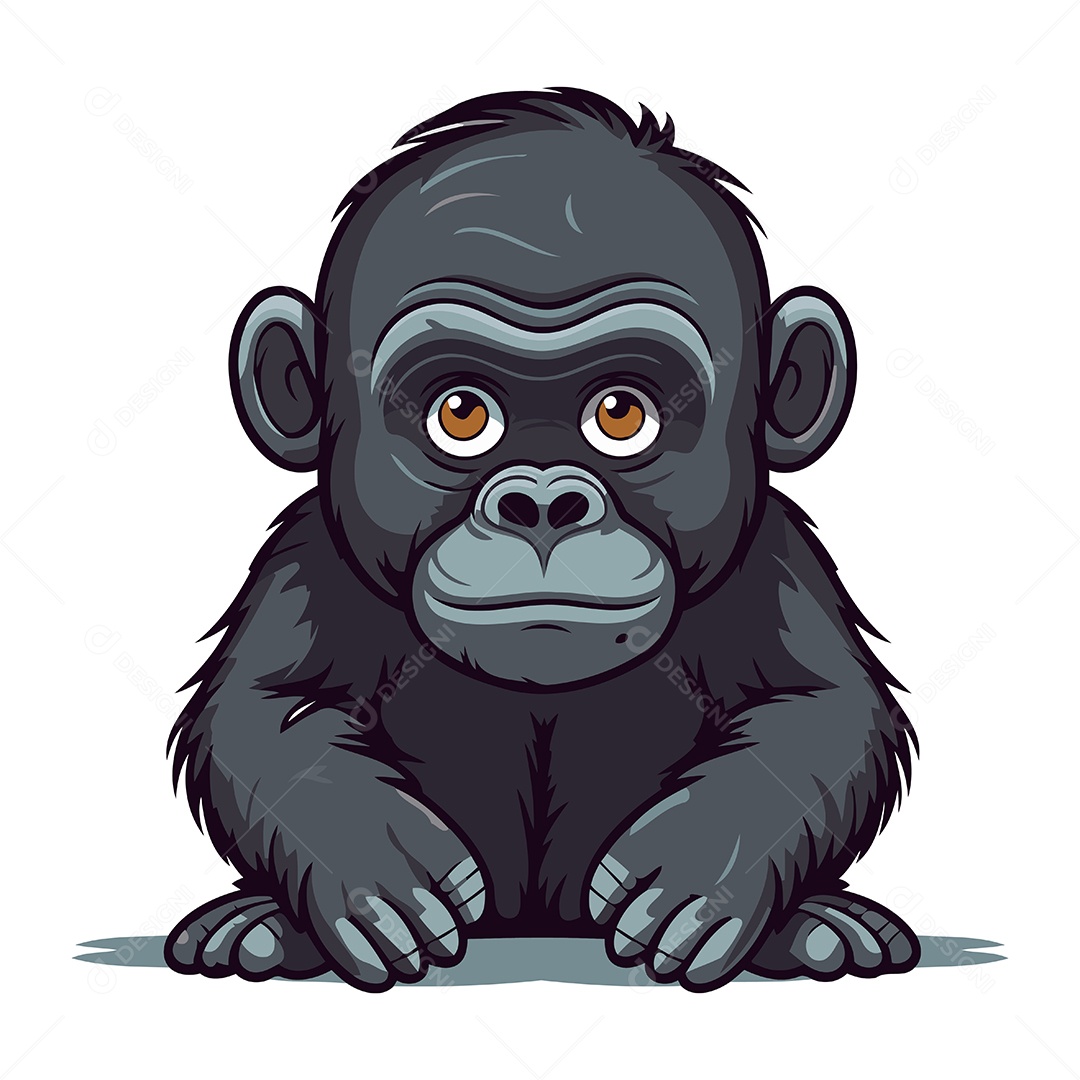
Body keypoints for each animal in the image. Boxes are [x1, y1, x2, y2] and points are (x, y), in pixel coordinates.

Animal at [165, 87, 920, 992]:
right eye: (461, 413)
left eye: (621, 413)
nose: (544, 502)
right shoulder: (305, 557)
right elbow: (259, 713)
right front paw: (374, 862)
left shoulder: (776, 557)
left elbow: (822, 711)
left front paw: (697, 864)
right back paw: (258, 928)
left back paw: (820, 928)